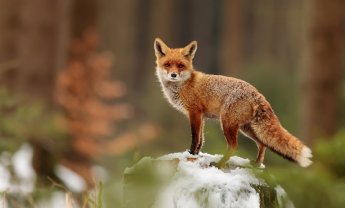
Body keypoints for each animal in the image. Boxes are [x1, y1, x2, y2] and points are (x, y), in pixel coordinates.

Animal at [153, 37, 312, 167]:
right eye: (167, 65)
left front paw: (191, 154)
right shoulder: (201, 116)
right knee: (262, 143)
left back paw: (220, 164)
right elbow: (201, 139)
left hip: (227, 123)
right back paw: (256, 164)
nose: (173, 75)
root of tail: (257, 93)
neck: (183, 85)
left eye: (180, 65)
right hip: (246, 128)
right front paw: (196, 154)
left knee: (234, 146)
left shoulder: (195, 113)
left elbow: (195, 138)